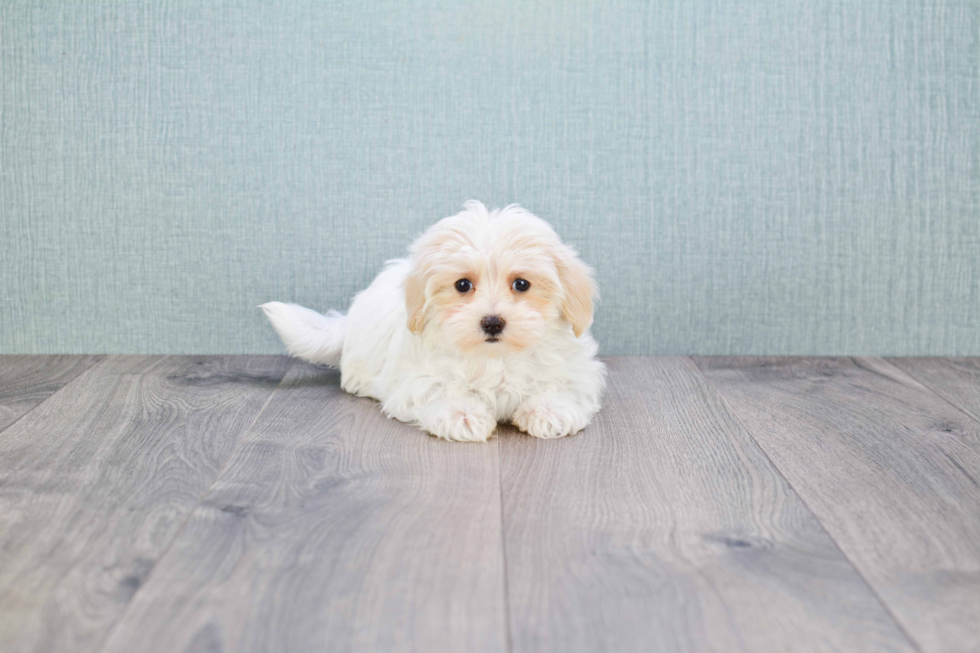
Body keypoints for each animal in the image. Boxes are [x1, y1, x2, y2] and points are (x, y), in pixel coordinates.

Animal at [264, 201, 608, 440]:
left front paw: (550, 410)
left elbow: (561, 383)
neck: (494, 357)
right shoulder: (414, 377)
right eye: (462, 285)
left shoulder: (575, 368)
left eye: (522, 284)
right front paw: (462, 414)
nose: (492, 322)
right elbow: (439, 389)